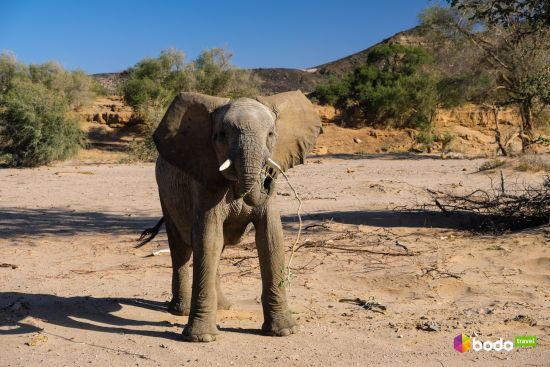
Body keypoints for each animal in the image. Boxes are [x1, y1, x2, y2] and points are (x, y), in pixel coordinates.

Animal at [151, 91, 324, 342]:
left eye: (271, 135)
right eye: (221, 135)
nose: (268, 177)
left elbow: (270, 238)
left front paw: (284, 331)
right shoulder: (205, 180)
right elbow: (208, 236)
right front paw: (201, 338)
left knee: (216, 247)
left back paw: (223, 307)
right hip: (164, 194)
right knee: (182, 248)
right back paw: (180, 310)